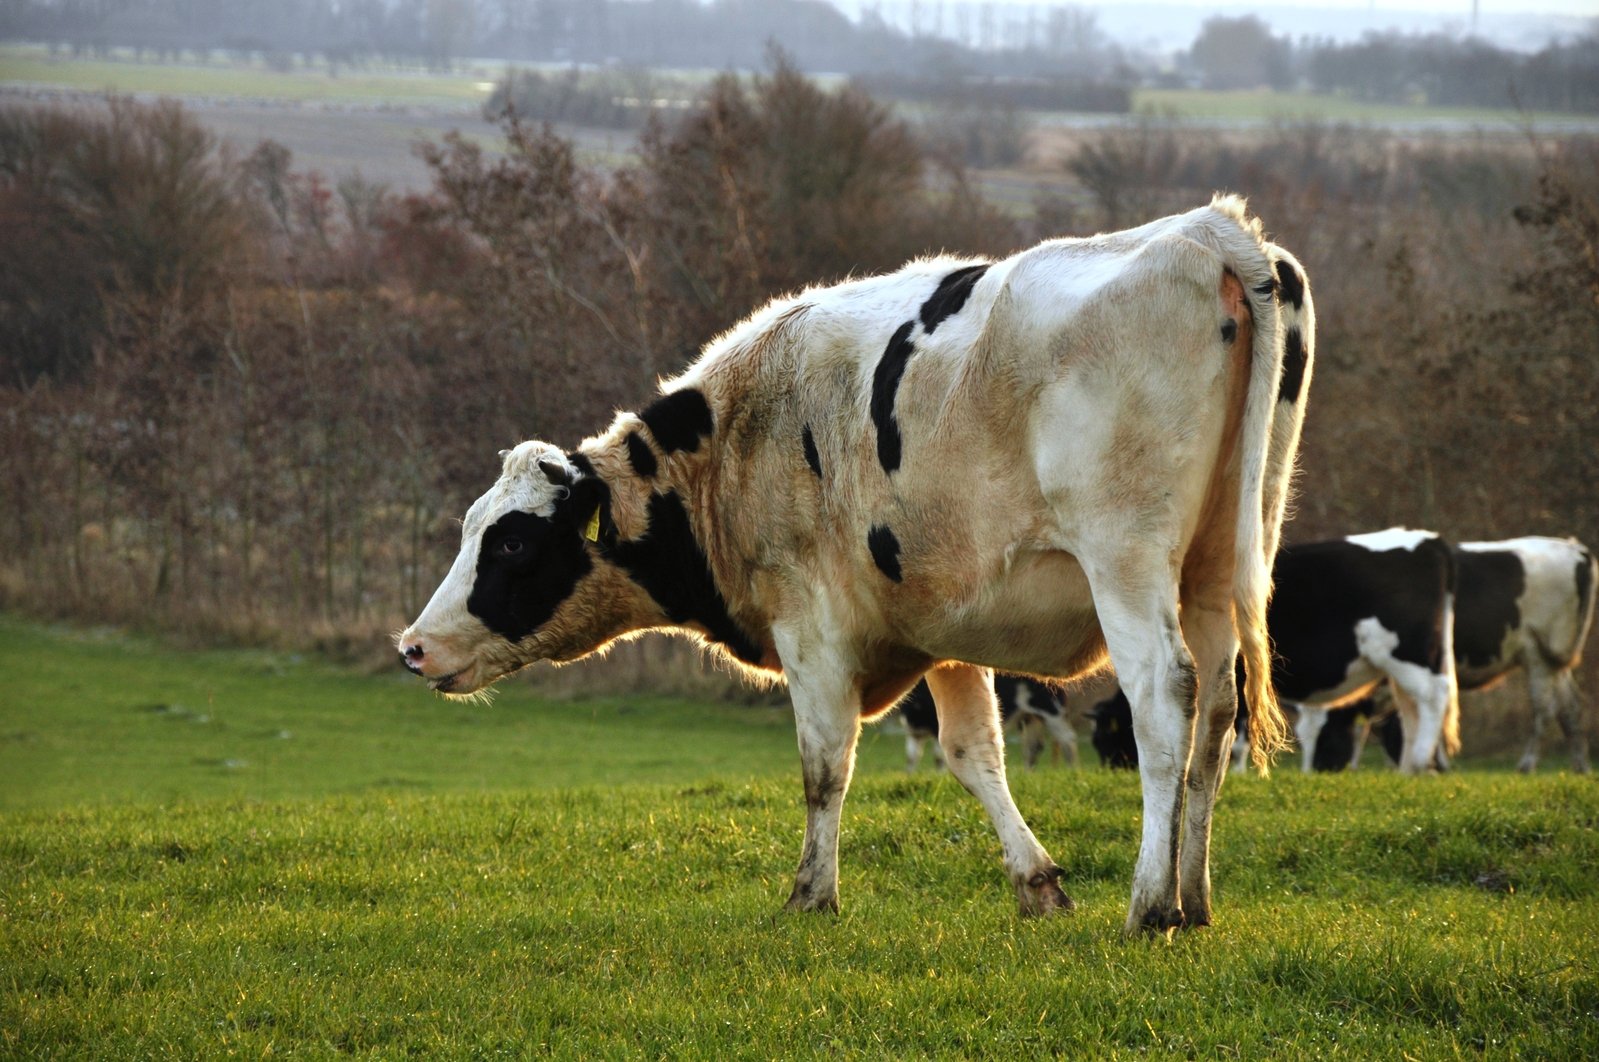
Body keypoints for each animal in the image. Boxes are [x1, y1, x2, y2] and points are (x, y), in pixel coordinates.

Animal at [901, 681, 1087, 770]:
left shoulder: (936, 726)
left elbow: (939, 757)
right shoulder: (913, 732)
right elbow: (911, 757)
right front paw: (910, 775)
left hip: (1050, 709)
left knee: (1067, 739)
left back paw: (1073, 771)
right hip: (1029, 717)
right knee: (1033, 747)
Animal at [1458, 540, 1592, 770]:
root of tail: (1574, 548)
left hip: (1539, 655)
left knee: (1545, 709)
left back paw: (1527, 764)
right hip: (1554, 660)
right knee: (1570, 705)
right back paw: (1581, 767)